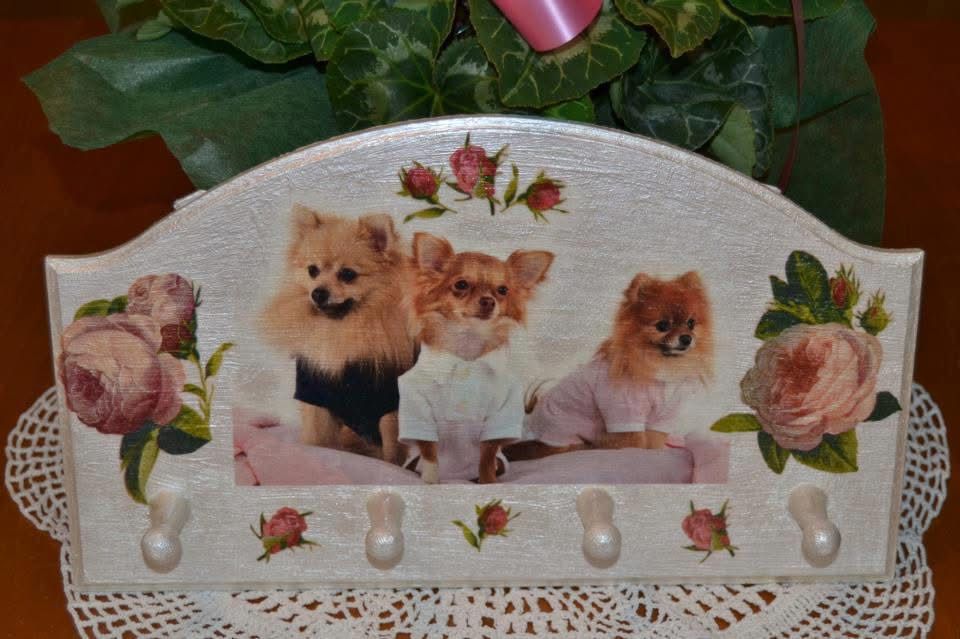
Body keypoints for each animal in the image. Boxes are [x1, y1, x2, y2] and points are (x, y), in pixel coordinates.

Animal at [259, 205, 417, 464]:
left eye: (348, 274)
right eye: (312, 271)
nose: (317, 292)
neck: (341, 330)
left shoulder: (389, 404)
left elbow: (391, 454)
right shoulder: (316, 398)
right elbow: (318, 442)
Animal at [398, 232, 554, 483]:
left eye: (503, 290)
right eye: (461, 285)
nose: (489, 300)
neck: (467, 350)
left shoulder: (499, 416)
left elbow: (487, 456)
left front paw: (488, 482)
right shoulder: (418, 409)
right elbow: (429, 451)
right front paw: (430, 480)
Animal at [521, 271, 713, 452]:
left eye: (691, 323)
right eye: (663, 325)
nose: (687, 338)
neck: (657, 365)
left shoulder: (663, 416)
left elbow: (655, 442)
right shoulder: (624, 412)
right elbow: (635, 444)